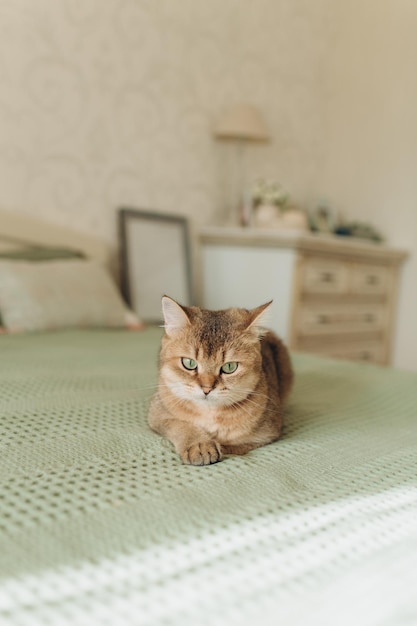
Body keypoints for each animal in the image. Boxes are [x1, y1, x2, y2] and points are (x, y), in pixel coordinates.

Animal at [146, 296, 292, 464]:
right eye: (189, 363)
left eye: (229, 367)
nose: (206, 388)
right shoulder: (156, 415)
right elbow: (179, 424)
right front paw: (200, 444)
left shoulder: (268, 433)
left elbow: (239, 444)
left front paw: (219, 446)